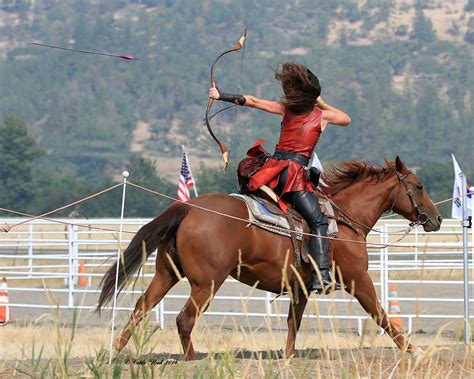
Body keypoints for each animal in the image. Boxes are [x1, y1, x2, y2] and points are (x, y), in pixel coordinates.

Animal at [97, 156, 444, 360]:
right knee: (184, 319)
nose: (437, 219)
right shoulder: (359, 280)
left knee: (141, 307)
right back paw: (191, 360)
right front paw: (414, 350)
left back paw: (113, 352)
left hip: (166, 275)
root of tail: (188, 207)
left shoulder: (301, 288)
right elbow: (382, 316)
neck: (344, 220)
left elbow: (293, 322)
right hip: (206, 283)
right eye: (418, 186)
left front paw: (289, 357)